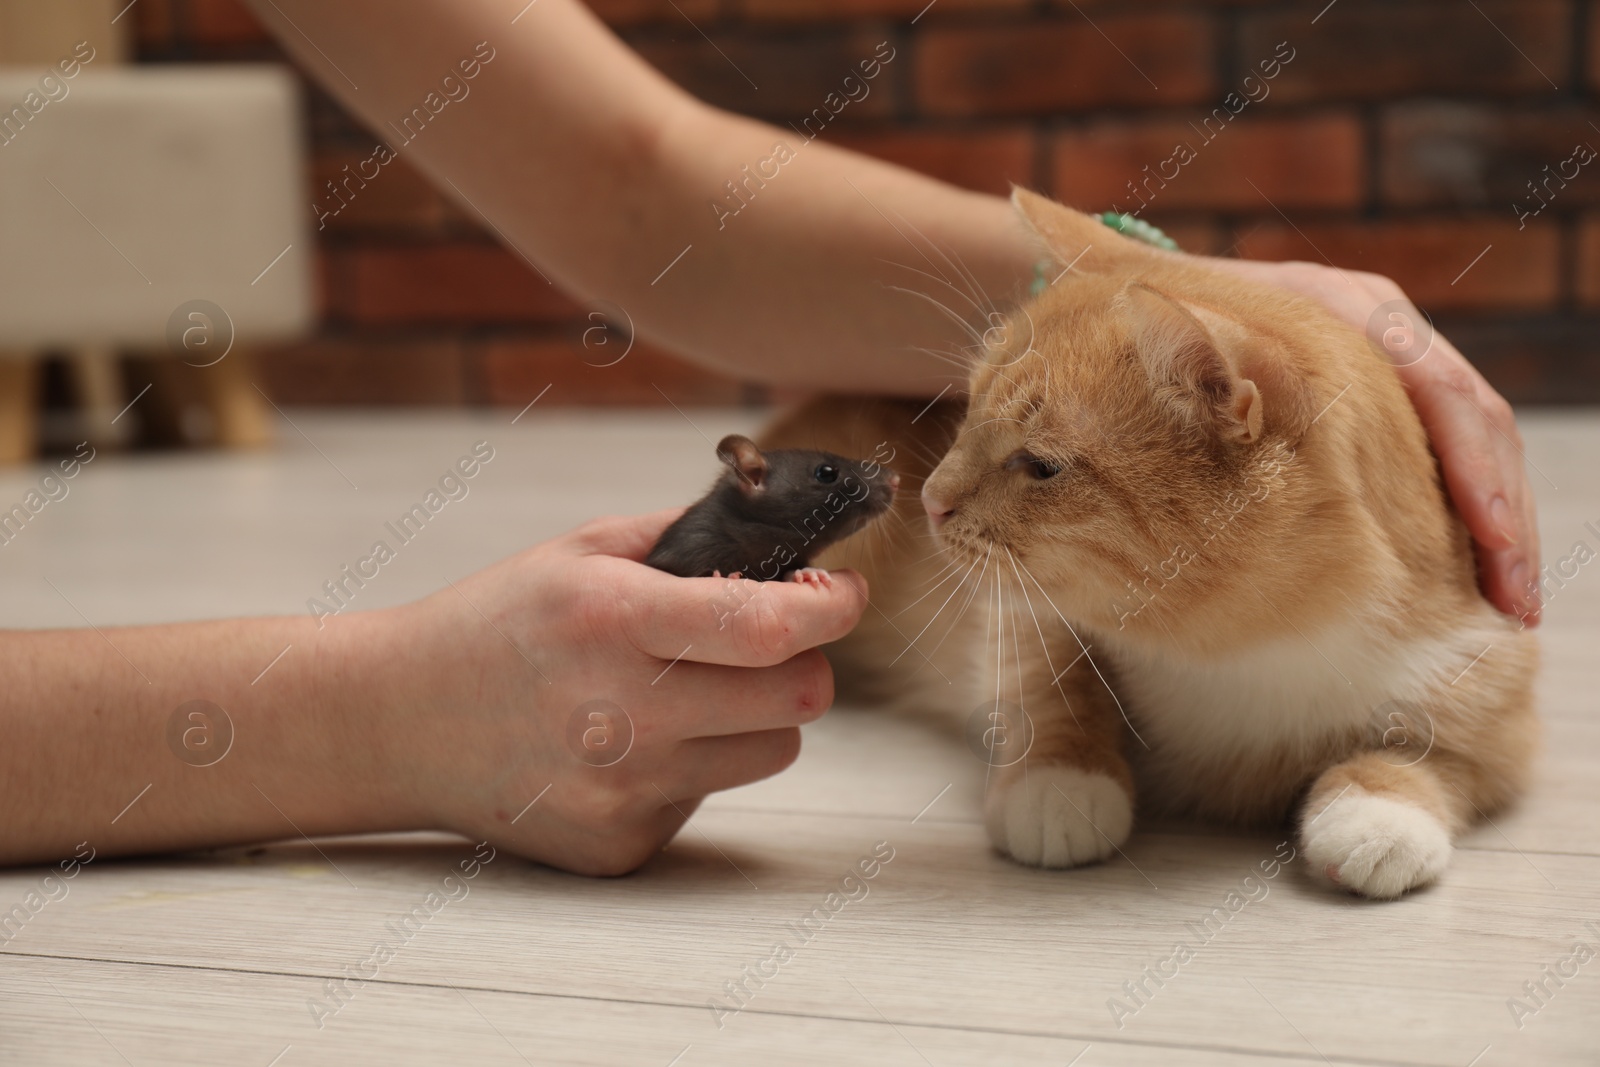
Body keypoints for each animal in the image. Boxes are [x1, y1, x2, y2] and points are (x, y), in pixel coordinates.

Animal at [768, 187, 1542, 895]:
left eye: (1041, 466)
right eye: (967, 412)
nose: (927, 499)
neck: (1241, 655)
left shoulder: (1492, 683)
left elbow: (1435, 752)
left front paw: (1379, 812)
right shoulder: (1024, 613)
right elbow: (1045, 683)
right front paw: (1060, 779)